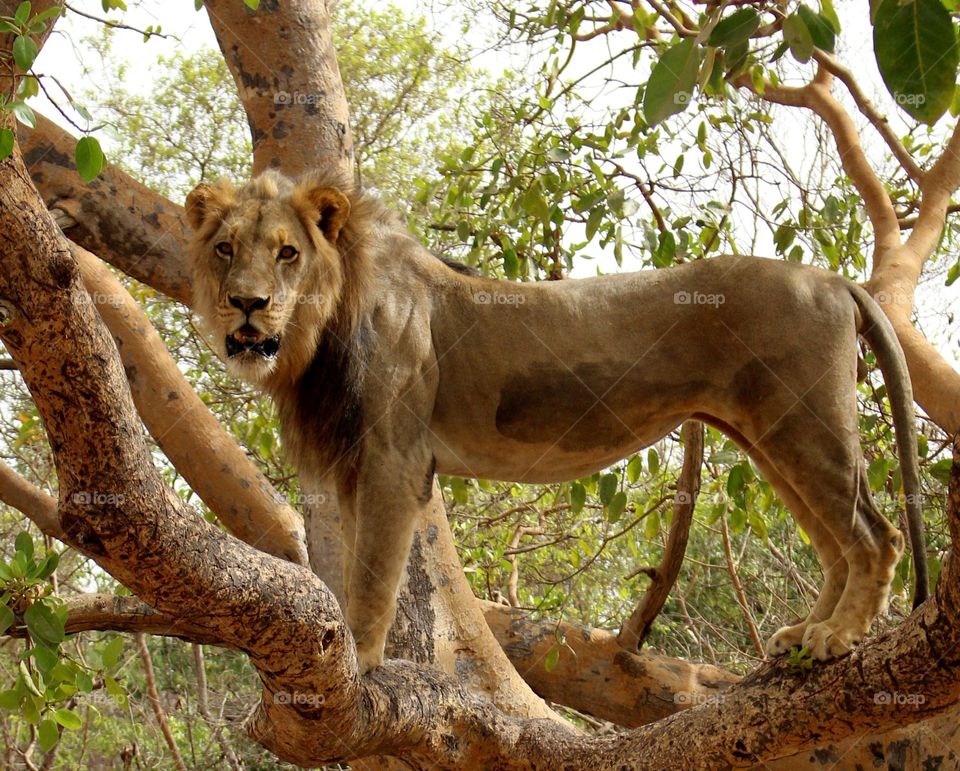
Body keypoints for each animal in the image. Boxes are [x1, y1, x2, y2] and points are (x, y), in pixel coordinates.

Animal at [184, 170, 928, 676]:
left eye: (287, 252)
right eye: (224, 249)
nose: (246, 304)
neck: (318, 333)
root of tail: (834, 280)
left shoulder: (394, 457)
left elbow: (372, 577)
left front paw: (361, 661)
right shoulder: (351, 463)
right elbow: (350, 570)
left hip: (804, 424)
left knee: (877, 536)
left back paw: (837, 637)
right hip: (770, 435)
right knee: (836, 546)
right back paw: (807, 635)